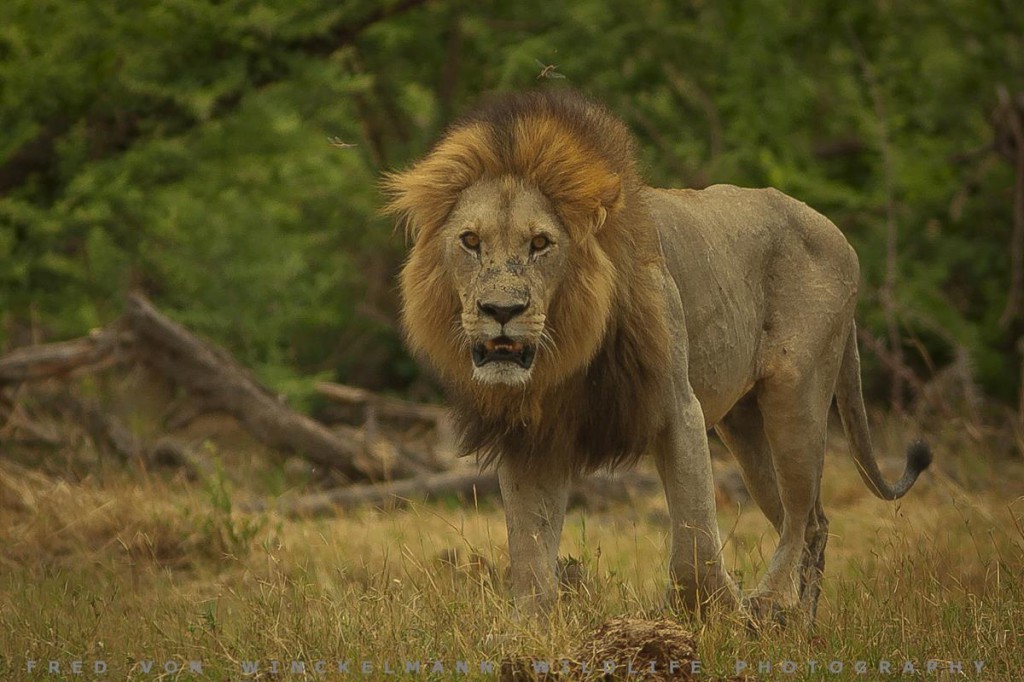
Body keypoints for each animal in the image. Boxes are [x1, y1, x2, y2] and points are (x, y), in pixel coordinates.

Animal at [382, 87, 929, 618]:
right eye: (470, 241)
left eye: (540, 243)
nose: (501, 310)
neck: (567, 353)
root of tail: (841, 237)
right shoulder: (530, 438)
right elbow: (531, 559)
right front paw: (529, 630)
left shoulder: (677, 409)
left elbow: (694, 545)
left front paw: (716, 612)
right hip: (745, 427)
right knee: (813, 519)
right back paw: (799, 623)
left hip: (796, 396)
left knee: (798, 517)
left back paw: (769, 603)